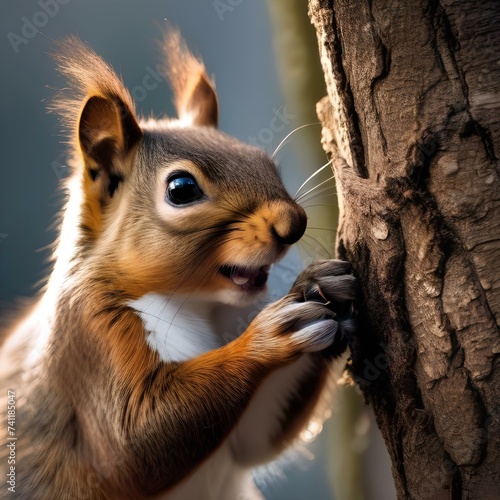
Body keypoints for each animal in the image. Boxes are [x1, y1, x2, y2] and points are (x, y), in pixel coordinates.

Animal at [0, 32, 360, 500]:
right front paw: (270, 337)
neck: (195, 305)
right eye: (182, 188)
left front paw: (321, 284)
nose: (293, 224)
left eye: (262, 159)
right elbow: (134, 444)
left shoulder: (243, 434)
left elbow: (255, 440)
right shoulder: (91, 343)